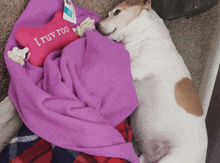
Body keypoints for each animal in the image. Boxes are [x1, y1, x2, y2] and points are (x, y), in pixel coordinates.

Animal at [96, 0, 208, 162]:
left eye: (117, 12)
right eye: (108, 14)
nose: (97, 25)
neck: (146, 36)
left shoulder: (136, 68)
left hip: (172, 158)